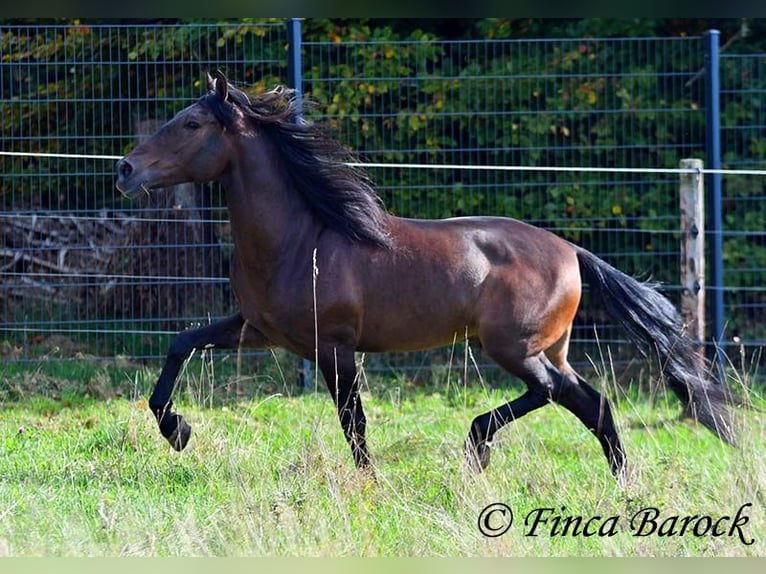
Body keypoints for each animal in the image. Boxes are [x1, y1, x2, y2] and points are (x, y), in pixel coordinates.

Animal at [115, 70, 737, 481]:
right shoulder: (258, 330)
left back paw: (478, 446)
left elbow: (354, 422)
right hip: (548, 347)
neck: (300, 241)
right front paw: (178, 431)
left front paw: (369, 484)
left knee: (552, 392)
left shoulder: (334, 347)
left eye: (192, 122)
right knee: (594, 403)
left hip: (512, 346)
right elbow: (181, 344)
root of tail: (572, 252)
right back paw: (622, 482)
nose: (125, 169)